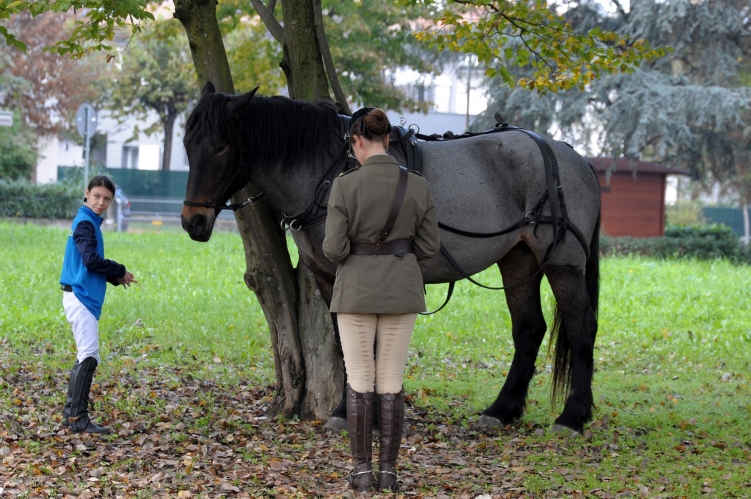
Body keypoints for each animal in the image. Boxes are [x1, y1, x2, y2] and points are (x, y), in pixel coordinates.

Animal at [179, 82, 604, 434]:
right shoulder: (329, 278)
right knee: (529, 329)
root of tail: (573, 157)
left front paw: (355, 413)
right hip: (518, 259)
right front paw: (349, 411)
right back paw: (502, 410)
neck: (331, 171)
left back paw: (572, 417)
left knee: (582, 328)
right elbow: (345, 342)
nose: (192, 221)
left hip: (563, 263)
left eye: (221, 146)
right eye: (187, 143)